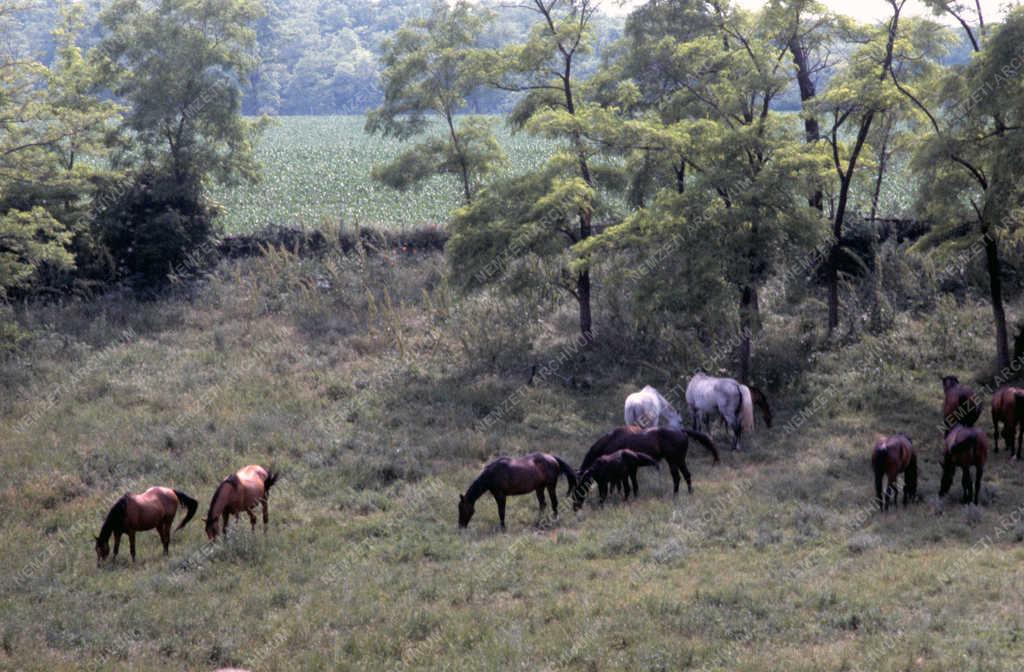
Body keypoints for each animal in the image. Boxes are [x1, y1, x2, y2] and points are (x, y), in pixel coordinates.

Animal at [581, 428, 716, 495]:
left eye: (579, 483)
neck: (611, 440)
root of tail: (682, 431)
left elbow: (617, 485)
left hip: (678, 459)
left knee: (685, 475)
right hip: (673, 461)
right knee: (678, 476)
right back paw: (677, 494)